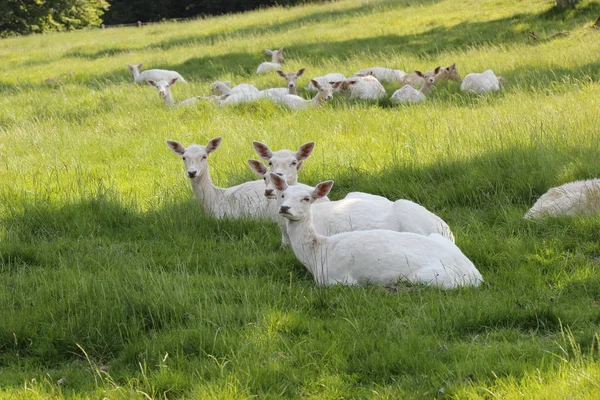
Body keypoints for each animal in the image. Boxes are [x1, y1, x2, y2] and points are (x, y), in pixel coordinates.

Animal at [272, 175, 482, 288]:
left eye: (306, 198)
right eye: (283, 195)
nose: (284, 208)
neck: (316, 255)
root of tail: (475, 274)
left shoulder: (339, 280)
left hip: (434, 277)